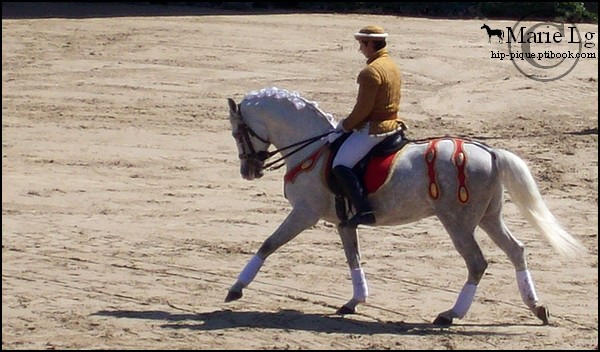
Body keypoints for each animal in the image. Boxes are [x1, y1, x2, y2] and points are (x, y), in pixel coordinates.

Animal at [223, 86, 584, 326]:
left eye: (237, 133)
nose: (248, 171)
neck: (313, 149)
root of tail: (490, 152)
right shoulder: (343, 222)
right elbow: (353, 259)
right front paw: (354, 301)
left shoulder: (304, 214)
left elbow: (268, 244)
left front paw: (236, 289)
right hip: (488, 218)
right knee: (516, 251)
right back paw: (536, 308)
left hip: (458, 222)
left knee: (477, 263)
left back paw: (450, 314)